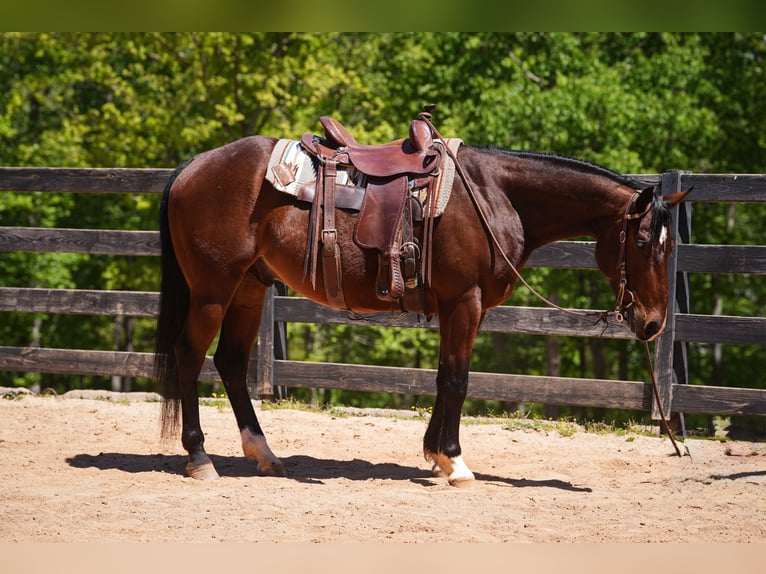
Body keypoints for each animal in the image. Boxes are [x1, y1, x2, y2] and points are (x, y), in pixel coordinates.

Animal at [153, 130, 689, 486]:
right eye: (644, 243)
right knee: (189, 355)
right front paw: (456, 461)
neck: (494, 196)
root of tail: (193, 166)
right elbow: (457, 380)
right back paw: (199, 458)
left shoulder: (462, 307)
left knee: (230, 362)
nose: (652, 323)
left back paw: (264, 454)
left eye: (671, 247)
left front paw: (435, 454)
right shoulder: (464, 301)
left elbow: (443, 375)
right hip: (212, 290)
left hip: (249, 287)